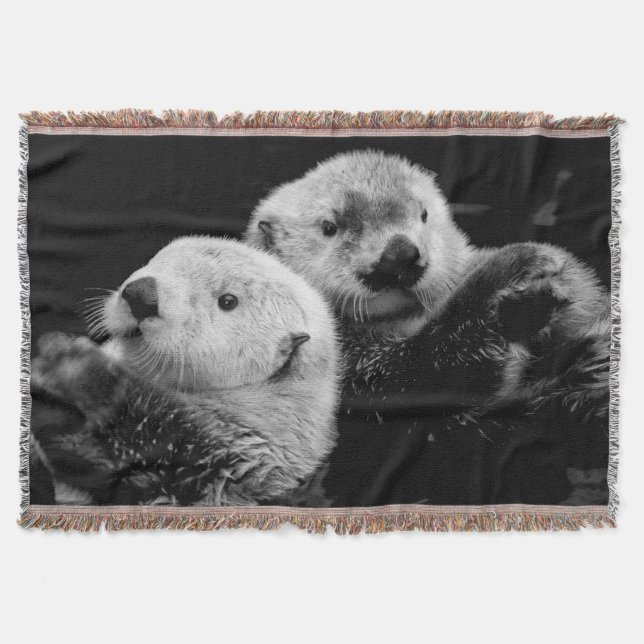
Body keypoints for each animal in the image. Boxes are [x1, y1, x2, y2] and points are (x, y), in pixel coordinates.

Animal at [245, 150, 610, 505]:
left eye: (422, 214)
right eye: (328, 227)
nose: (400, 252)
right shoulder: (352, 373)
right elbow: (429, 376)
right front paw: (519, 271)